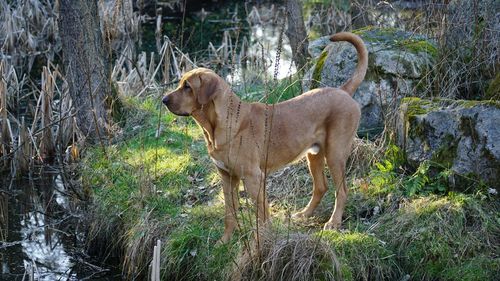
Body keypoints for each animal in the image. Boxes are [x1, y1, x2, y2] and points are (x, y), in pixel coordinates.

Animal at [163, 32, 368, 243]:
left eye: (187, 87)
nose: (164, 100)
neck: (218, 126)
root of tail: (342, 90)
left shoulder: (253, 177)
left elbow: (262, 215)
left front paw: (262, 241)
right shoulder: (227, 177)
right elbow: (230, 213)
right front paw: (225, 241)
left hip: (335, 154)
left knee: (341, 191)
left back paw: (334, 222)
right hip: (314, 155)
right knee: (321, 187)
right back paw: (304, 214)